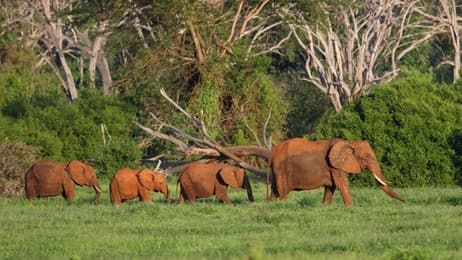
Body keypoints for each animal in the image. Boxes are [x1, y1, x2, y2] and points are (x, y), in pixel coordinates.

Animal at [268, 138, 404, 207]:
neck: (350, 142)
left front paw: (325, 206)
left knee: (274, 190)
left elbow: (331, 187)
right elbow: (342, 184)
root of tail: (272, 153)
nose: (405, 201)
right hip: (281, 170)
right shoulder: (334, 165)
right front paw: (350, 207)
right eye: (366, 157)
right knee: (282, 192)